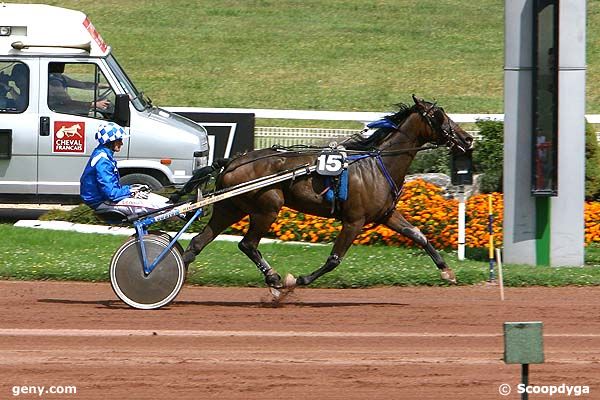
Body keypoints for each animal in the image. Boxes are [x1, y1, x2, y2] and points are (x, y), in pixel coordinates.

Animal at [179, 96, 474, 290]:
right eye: (439, 116)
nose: (467, 138)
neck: (376, 164)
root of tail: (233, 161)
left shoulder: (385, 215)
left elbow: (418, 235)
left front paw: (447, 272)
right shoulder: (354, 220)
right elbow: (334, 259)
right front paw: (299, 279)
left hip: (230, 207)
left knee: (197, 244)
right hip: (267, 208)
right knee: (247, 244)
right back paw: (273, 278)